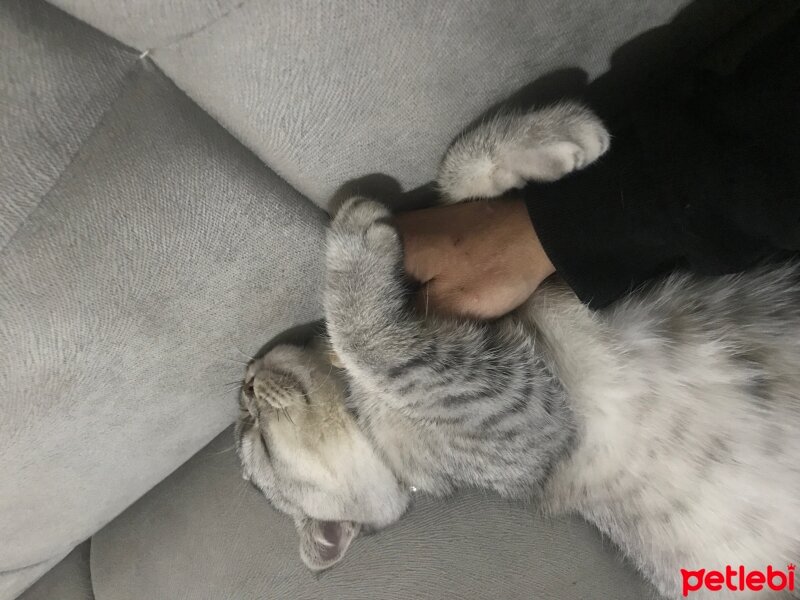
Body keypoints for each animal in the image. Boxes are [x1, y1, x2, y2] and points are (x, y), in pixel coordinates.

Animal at [236, 101, 800, 596]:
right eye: (257, 442)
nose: (244, 386)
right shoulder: (528, 420)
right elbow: (380, 347)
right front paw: (351, 244)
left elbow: (456, 186)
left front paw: (550, 136)